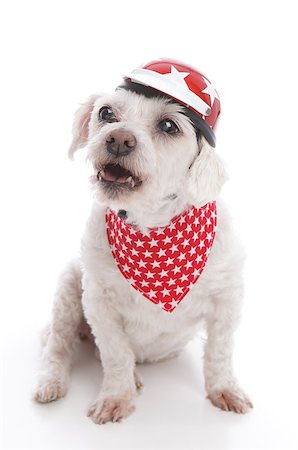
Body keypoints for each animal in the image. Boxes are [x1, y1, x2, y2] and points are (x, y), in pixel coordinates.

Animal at [34, 60, 254, 426]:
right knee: (58, 347)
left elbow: (219, 353)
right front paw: (116, 396)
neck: (152, 226)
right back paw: (51, 381)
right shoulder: (99, 303)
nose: (119, 139)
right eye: (106, 112)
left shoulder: (228, 299)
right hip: (68, 290)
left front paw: (224, 389)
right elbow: (116, 354)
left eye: (168, 125)